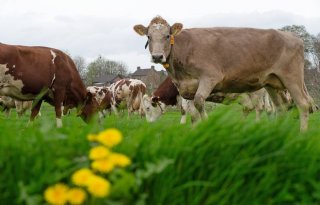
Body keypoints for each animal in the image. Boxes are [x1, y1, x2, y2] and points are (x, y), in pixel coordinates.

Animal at [134, 16, 314, 131]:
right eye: (149, 37)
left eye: (167, 35)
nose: (157, 56)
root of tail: (292, 36)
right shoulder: (188, 89)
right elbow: (193, 114)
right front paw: (194, 131)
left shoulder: (209, 77)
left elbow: (198, 103)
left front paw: (206, 126)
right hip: (271, 83)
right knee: (280, 108)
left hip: (291, 78)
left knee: (302, 104)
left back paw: (301, 135)